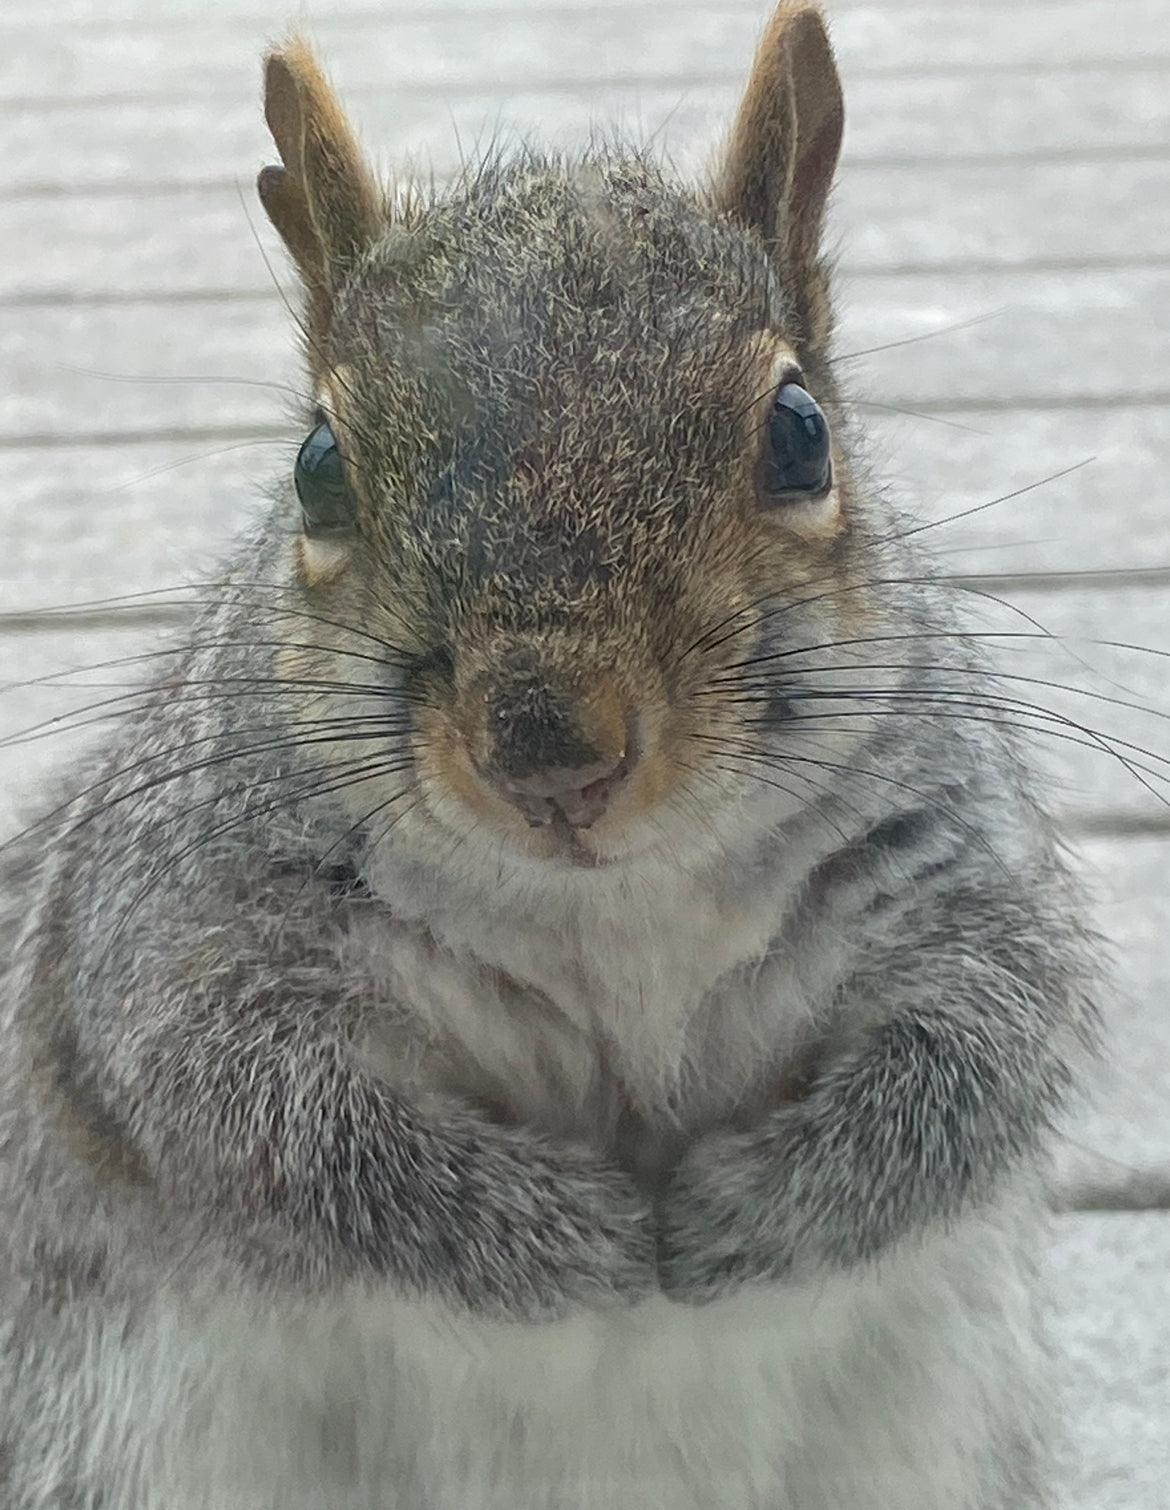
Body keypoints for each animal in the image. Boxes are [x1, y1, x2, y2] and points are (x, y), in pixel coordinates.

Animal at [0, 5, 1099, 1503]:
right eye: (318, 468)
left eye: (800, 432)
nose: (546, 746)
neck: (610, 909)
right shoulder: (174, 941)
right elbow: (269, 1117)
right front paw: (560, 1235)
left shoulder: (959, 881)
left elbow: (978, 1060)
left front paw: (733, 1213)